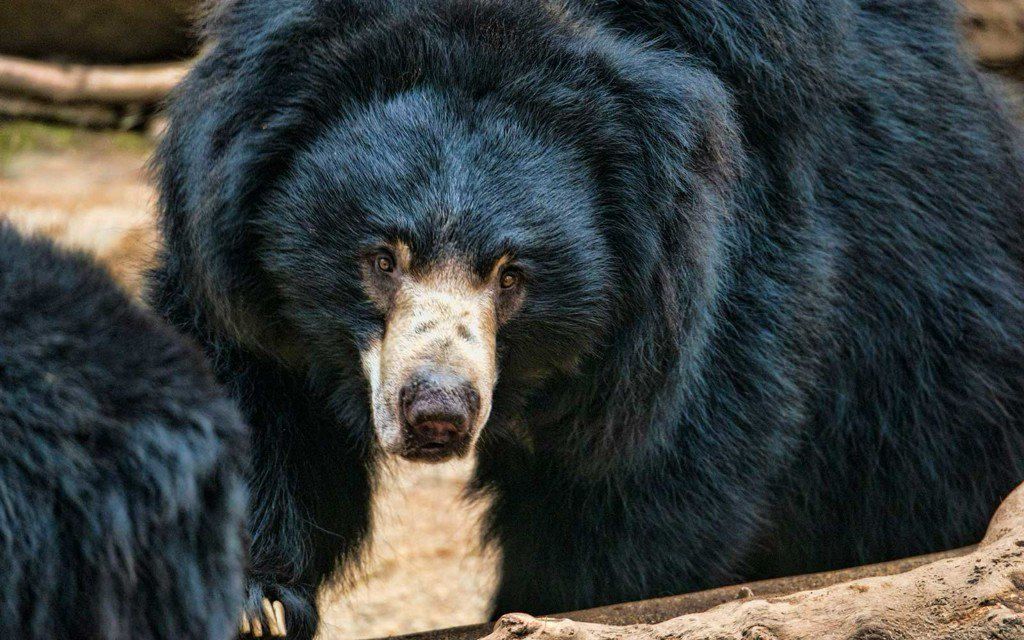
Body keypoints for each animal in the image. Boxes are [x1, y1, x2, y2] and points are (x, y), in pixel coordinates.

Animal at [150, 0, 1024, 636]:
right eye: (382, 258)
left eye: (512, 276)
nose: (437, 414)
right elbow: (247, 379)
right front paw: (258, 602)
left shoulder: (729, 251)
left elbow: (653, 466)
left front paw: (554, 606)